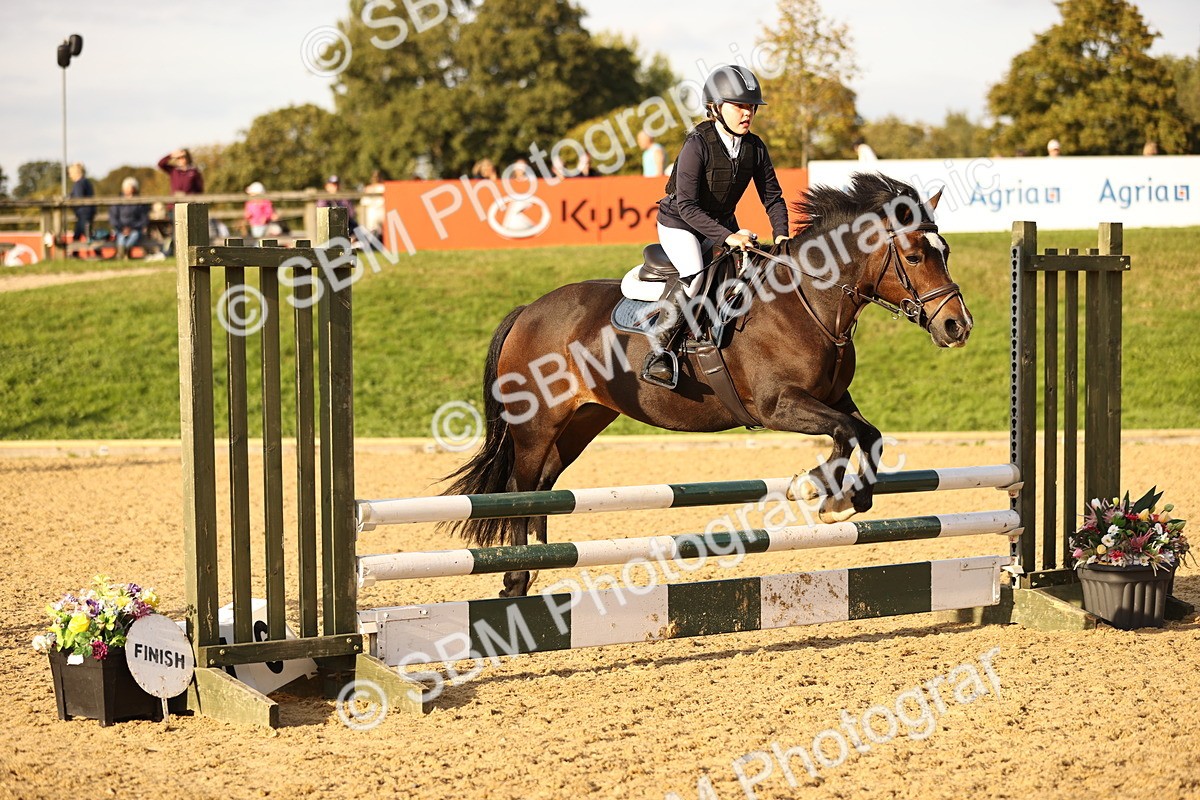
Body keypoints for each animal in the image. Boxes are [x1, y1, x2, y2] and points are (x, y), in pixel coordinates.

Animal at [440, 173, 973, 597]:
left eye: (945, 252)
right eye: (914, 255)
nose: (958, 326)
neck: (808, 301)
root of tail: (528, 311)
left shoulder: (831, 397)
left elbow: (868, 434)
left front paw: (847, 499)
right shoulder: (777, 406)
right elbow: (845, 432)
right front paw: (818, 490)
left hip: (583, 420)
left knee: (545, 485)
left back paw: (536, 565)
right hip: (535, 424)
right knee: (520, 487)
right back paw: (514, 578)